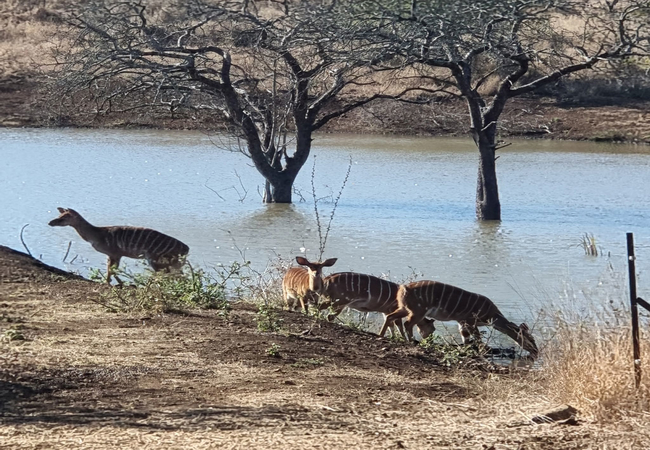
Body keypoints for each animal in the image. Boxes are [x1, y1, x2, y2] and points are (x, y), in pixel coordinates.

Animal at [48, 207, 189, 284]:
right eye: (59, 215)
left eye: (64, 217)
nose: (50, 222)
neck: (97, 234)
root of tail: (186, 249)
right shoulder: (113, 255)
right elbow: (111, 270)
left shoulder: (114, 253)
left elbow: (112, 270)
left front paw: (117, 283)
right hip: (172, 264)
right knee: (180, 276)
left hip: (157, 261)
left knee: (167, 276)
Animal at [380, 280, 539, 359]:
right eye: (531, 339)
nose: (536, 351)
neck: (491, 316)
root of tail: (403, 288)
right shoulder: (470, 320)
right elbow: (477, 337)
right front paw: (482, 351)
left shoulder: (461, 321)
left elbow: (465, 337)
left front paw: (466, 349)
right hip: (417, 311)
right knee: (407, 323)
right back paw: (411, 341)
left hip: (405, 308)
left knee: (390, 316)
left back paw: (382, 336)